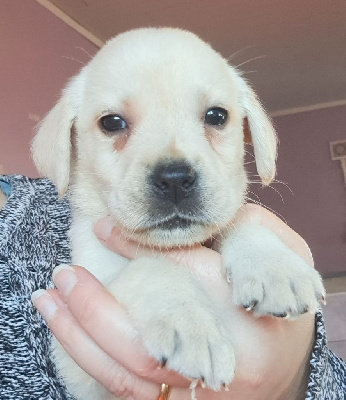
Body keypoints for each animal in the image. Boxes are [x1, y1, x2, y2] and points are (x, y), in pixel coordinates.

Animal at [32, 28, 324, 400]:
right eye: (112, 123)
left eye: (216, 116)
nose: (174, 180)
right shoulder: (73, 357)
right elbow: (150, 266)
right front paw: (191, 326)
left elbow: (240, 220)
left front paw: (274, 267)